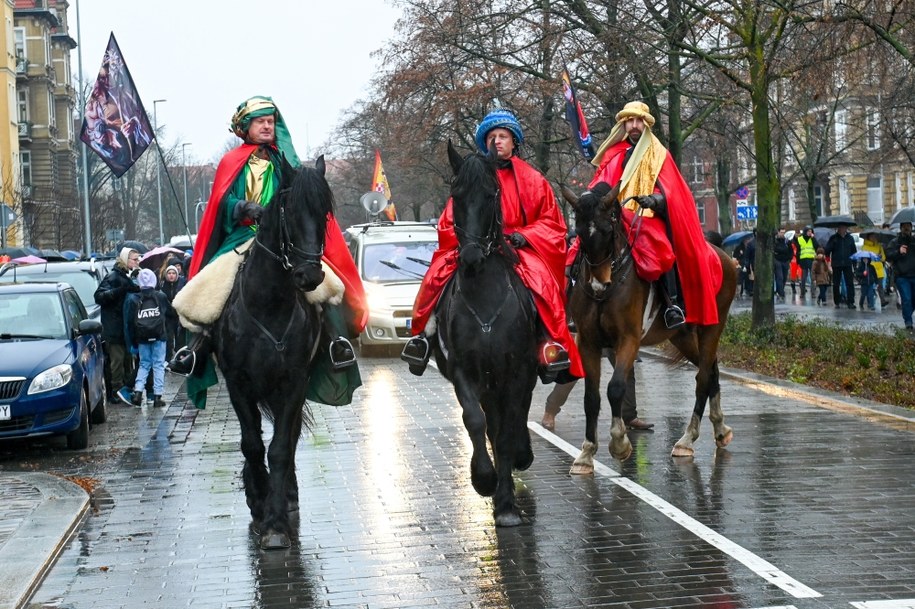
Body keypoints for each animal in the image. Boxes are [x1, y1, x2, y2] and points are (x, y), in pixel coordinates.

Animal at [213, 154, 330, 548]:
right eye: (289, 211)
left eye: (325, 213)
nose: (309, 276)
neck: (269, 304)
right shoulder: (238, 384)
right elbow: (251, 444)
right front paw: (260, 502)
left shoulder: (293, 382)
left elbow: (280, 447)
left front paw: (276, 523)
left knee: (288, 440)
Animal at [432, 142, 540, 528]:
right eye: (456, 194)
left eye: (492, 194)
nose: (471, 257)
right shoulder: (464, 370)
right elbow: (476, 421)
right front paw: (484, 479)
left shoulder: (517, 372)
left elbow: (507, 431)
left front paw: (507, 505)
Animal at [560, 182, 740, 470]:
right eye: (579, 233)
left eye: (608, 230)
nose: (600, 285)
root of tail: (723, 255)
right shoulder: (587, 342)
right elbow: (591, 397)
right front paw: (586, 453)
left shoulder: (629, 340)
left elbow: (615, 388)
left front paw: (619, 443)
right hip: (682, 336)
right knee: (711, 371)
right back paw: (720, 430)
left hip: (712, 327)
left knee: (702, 378)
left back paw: (687, 439)